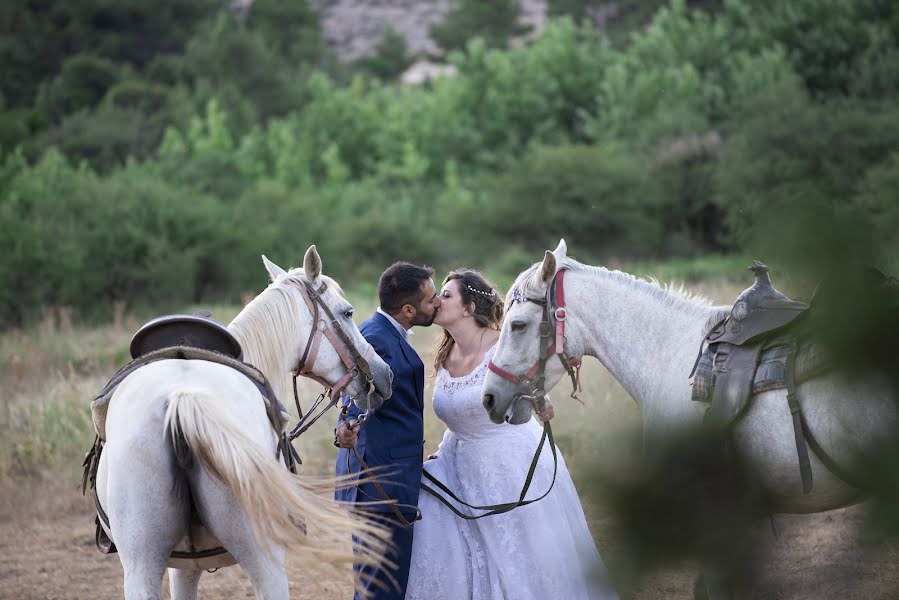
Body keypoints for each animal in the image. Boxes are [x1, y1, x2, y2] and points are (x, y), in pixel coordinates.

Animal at [93, 246, 396, 596]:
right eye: (347, 312)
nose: (384, 375)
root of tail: (184, 398)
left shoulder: (182, 566)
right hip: (265, 558)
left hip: (141, 564)